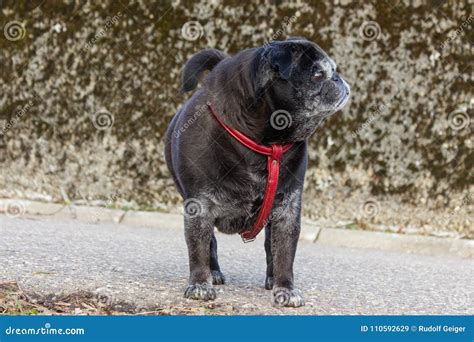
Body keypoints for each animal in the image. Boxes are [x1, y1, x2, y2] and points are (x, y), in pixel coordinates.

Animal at [165, 36, 350, 308]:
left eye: (332, 70)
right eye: (318, 74)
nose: (338, 78)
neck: (265, 143)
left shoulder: (287, 211)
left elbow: (284, 254)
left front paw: (286, 289)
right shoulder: (199, 208)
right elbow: (198, 248)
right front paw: (199, 283)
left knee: (270, 247)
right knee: (210, 243)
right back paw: (213, 273)